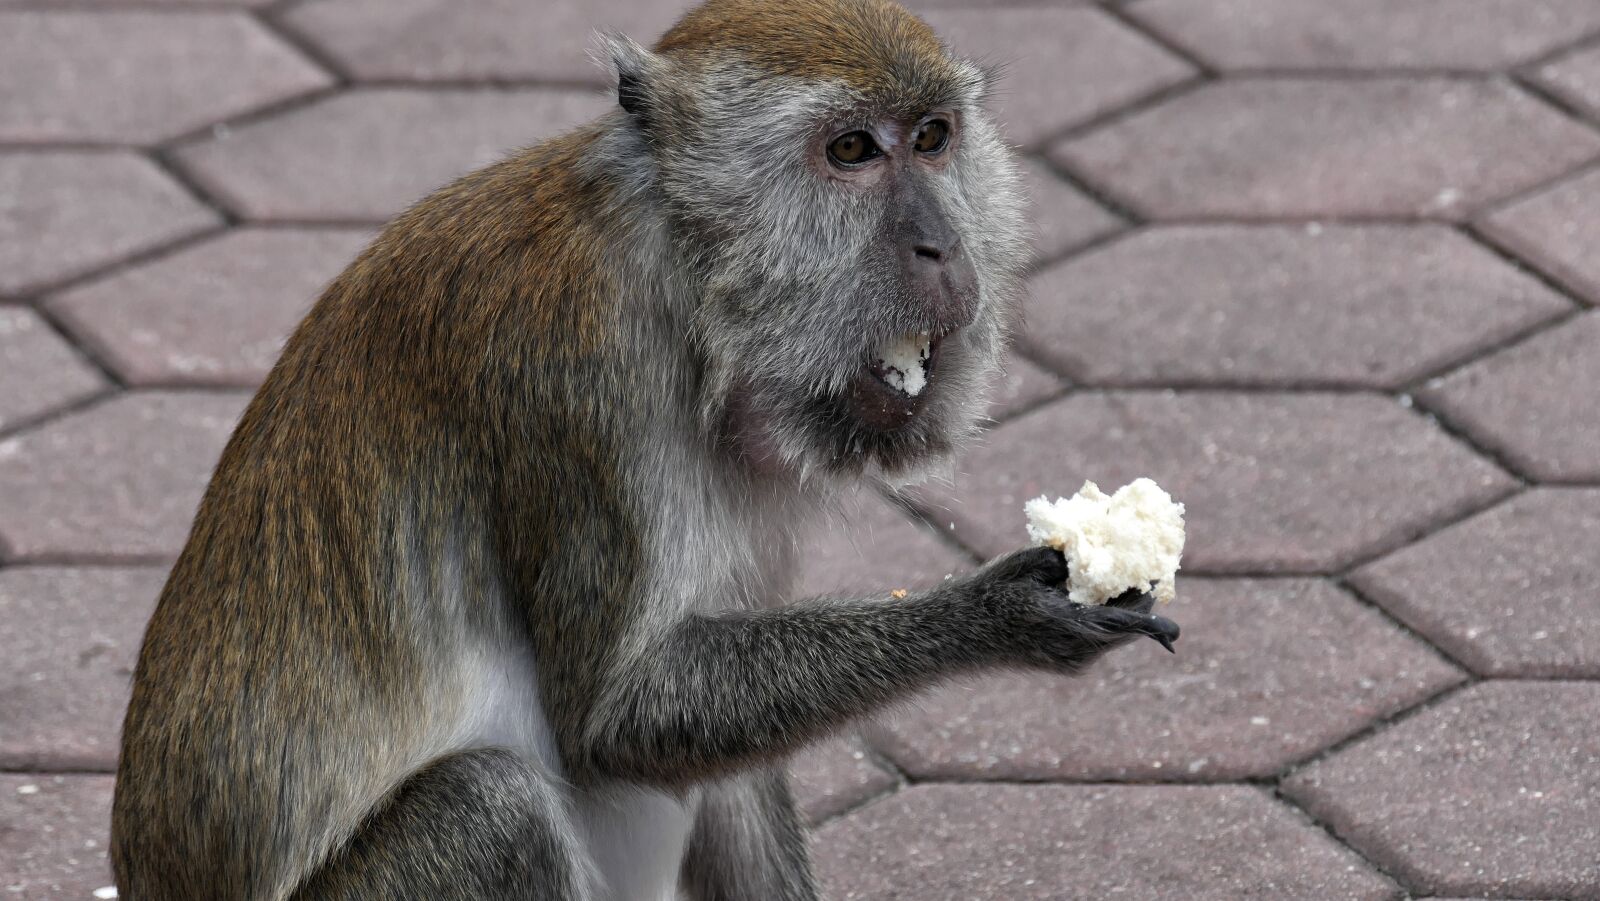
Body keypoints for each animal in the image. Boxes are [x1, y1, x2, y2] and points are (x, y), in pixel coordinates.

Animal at [110, 0, 1181, 898]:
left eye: (932, 138)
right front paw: (999, 614)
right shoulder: (579, 376)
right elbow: (617, 717)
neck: (682, 281)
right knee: (488, 806)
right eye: (850, 150)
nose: (941, 247)